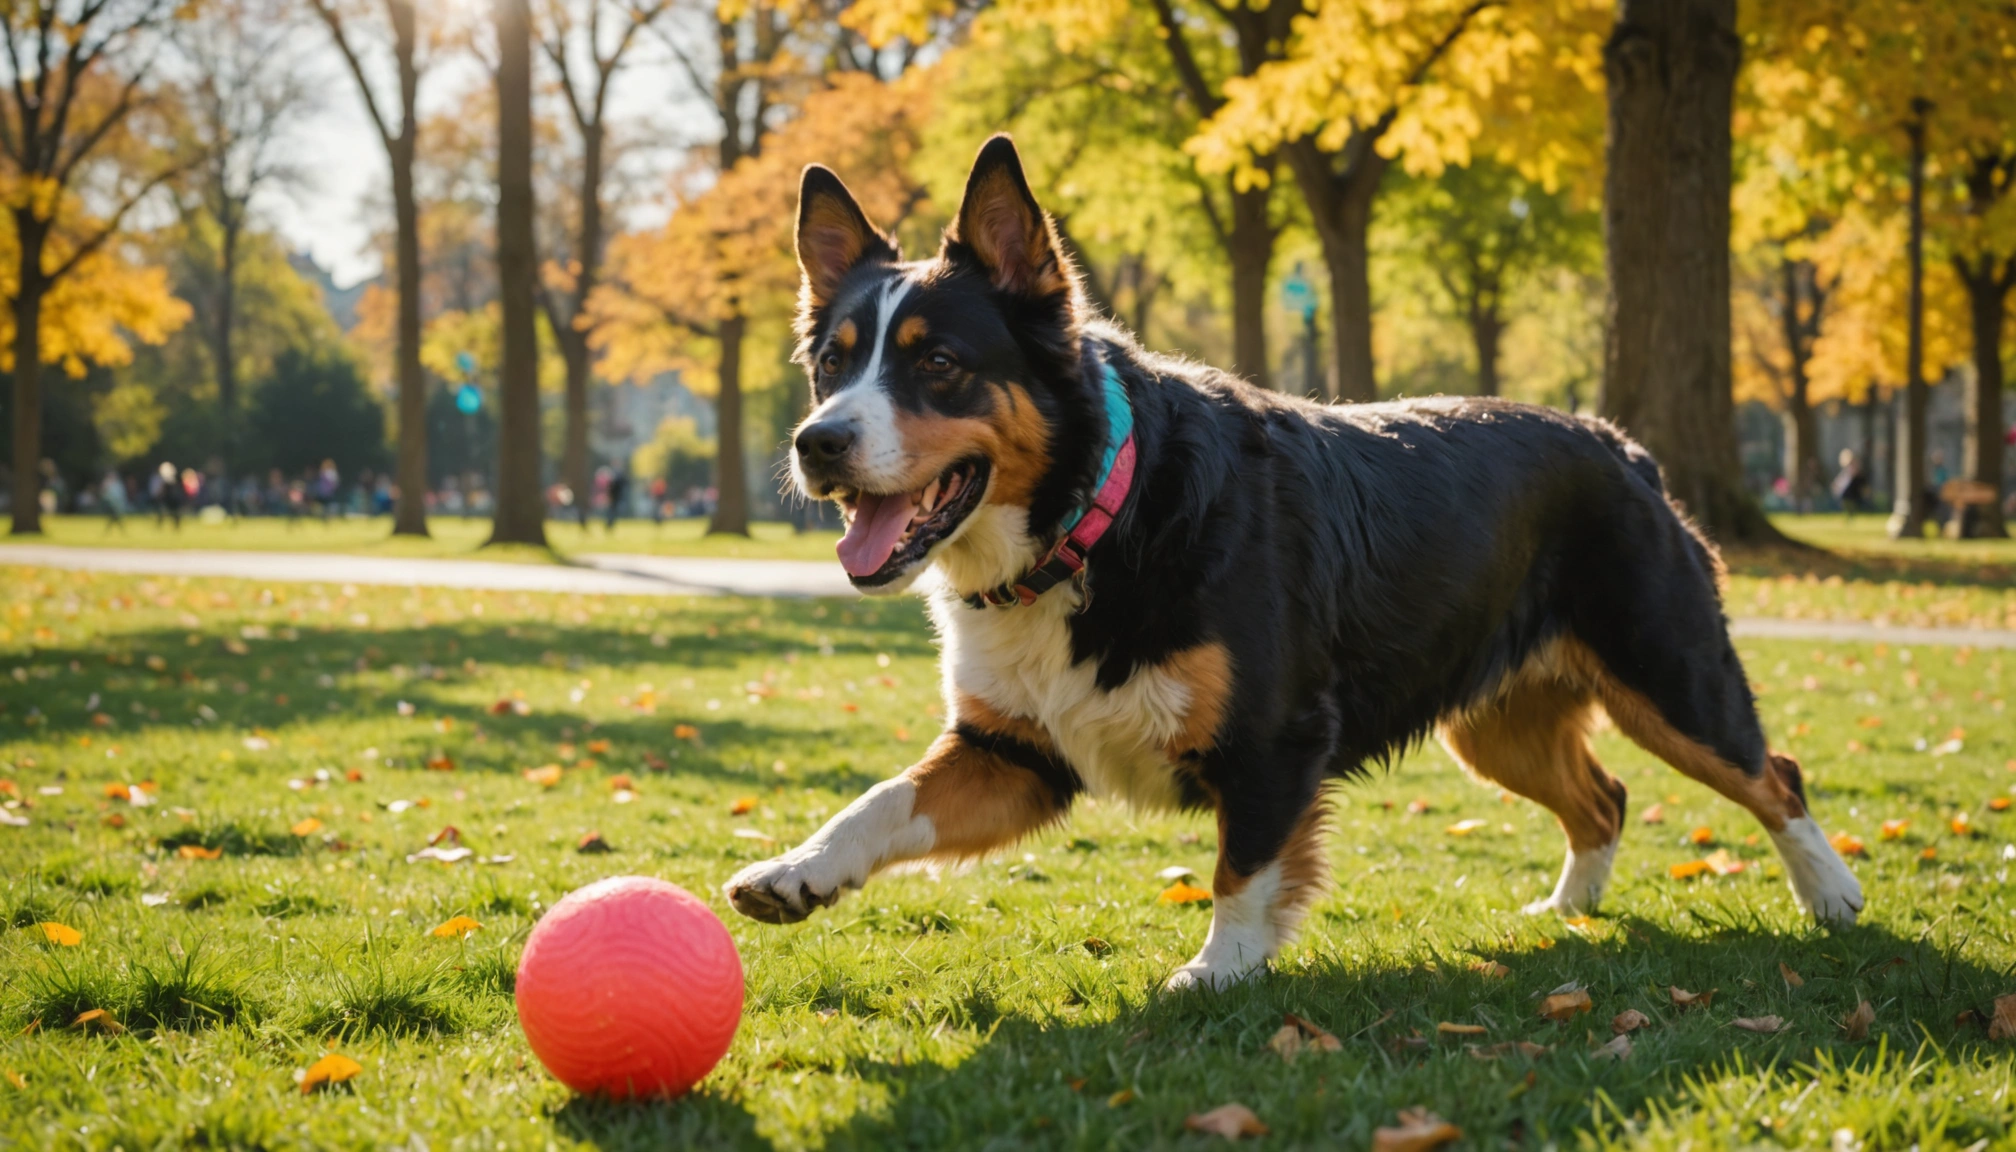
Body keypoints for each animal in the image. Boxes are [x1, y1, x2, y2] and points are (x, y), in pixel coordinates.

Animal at [721, 131, 1854, 988]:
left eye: (940, 363)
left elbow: (1243, 869)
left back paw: (1833, 894)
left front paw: (1219, 970)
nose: (817, 442)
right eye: (832, 363)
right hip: (1496, 725)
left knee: (1773, 775)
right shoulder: (1015, 752)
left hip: (1672, 677)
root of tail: (1623, 447)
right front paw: (797, 871)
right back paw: (1569, 909)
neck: (1102, 519)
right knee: (1605, 799)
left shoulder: (1273, 741)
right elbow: (882, 801)